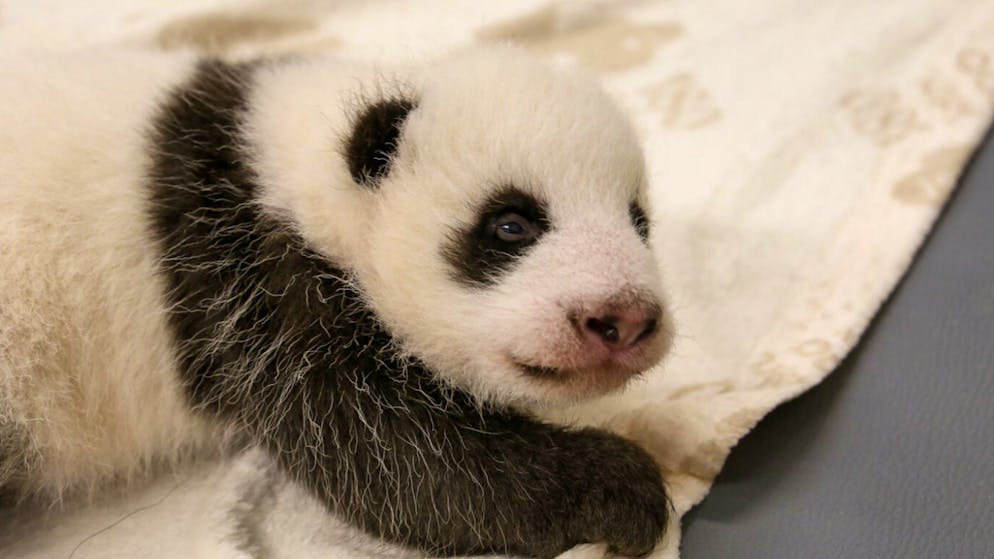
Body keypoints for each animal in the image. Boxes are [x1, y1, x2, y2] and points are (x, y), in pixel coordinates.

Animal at [0, 46, 673, 558]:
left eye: (639, 222)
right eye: (511, 225)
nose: (624, 319)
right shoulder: (252, 285)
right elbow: (401, 463)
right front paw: (623, 487)